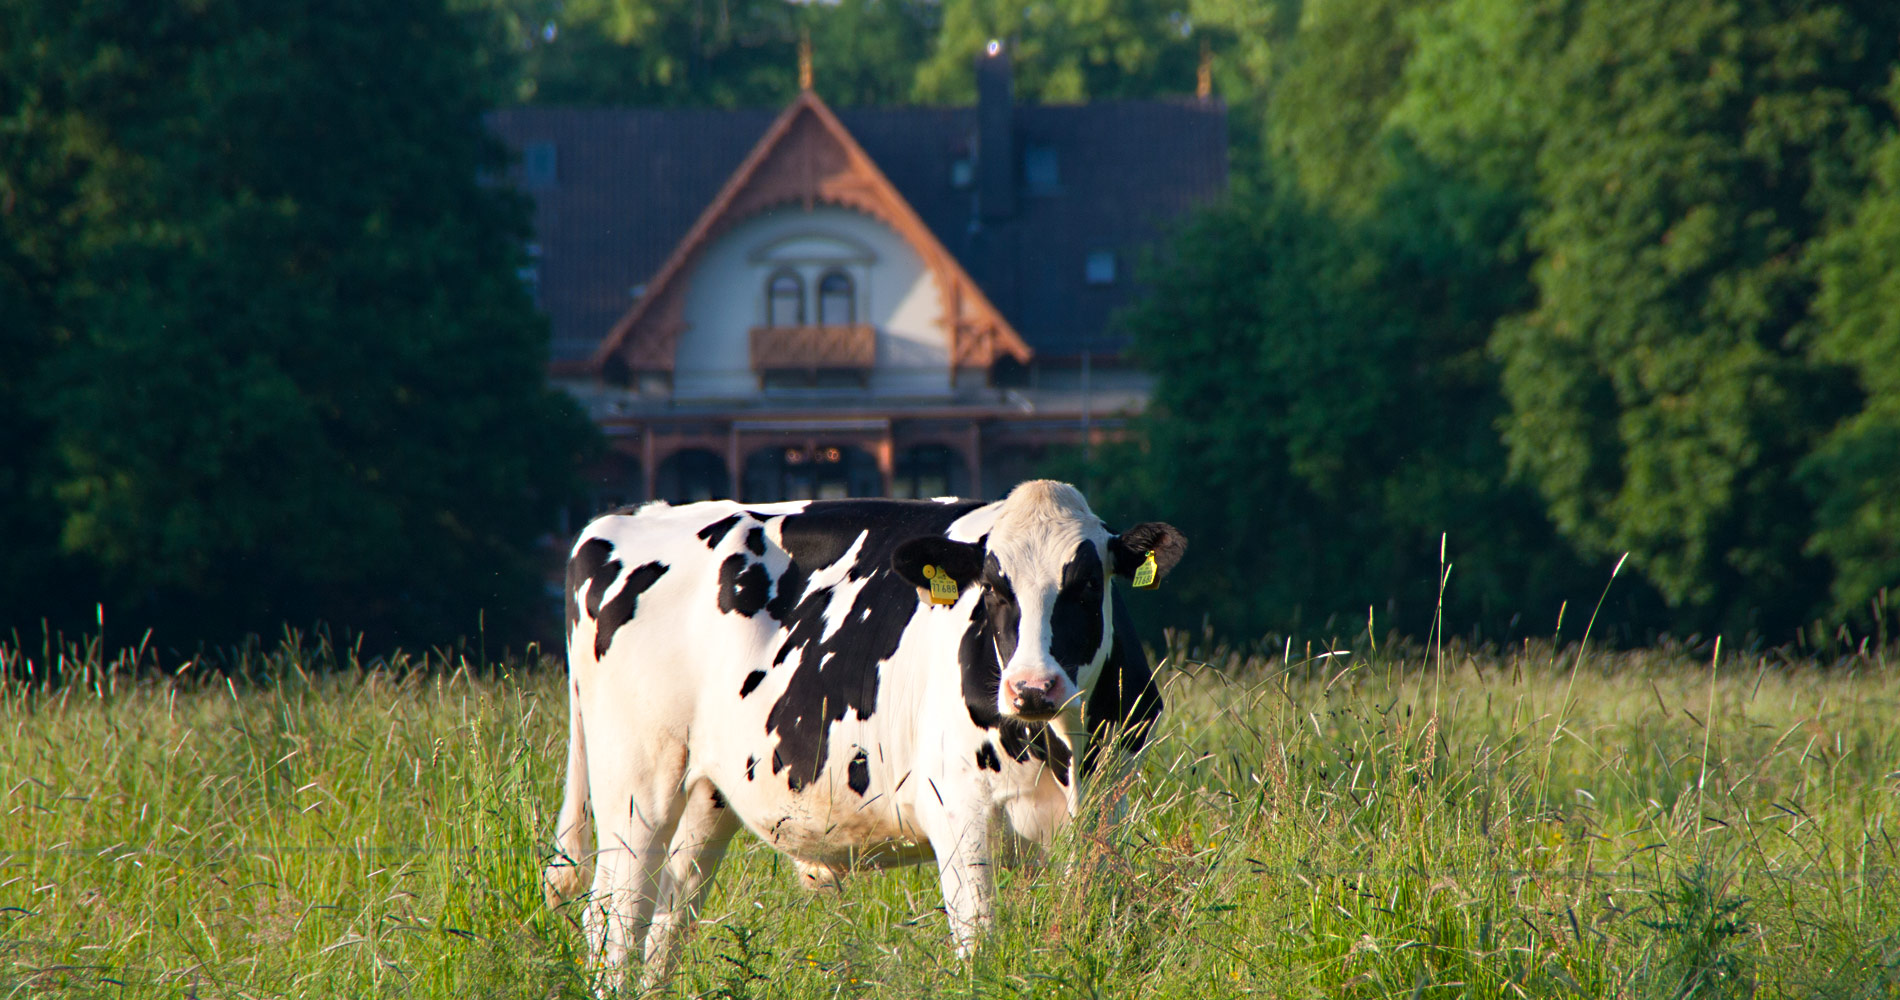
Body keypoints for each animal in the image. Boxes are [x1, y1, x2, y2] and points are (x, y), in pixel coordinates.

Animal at [542, 480, 1185, 987]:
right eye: (995, 589)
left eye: (1087, 586)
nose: (1031, 687)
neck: (1064, 749)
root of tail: (628, 517)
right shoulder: (959, 814)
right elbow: (979, 944)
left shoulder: (1108, 814)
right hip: (635, 785)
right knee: (614, 918)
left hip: (706, 795)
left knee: (669, 913)